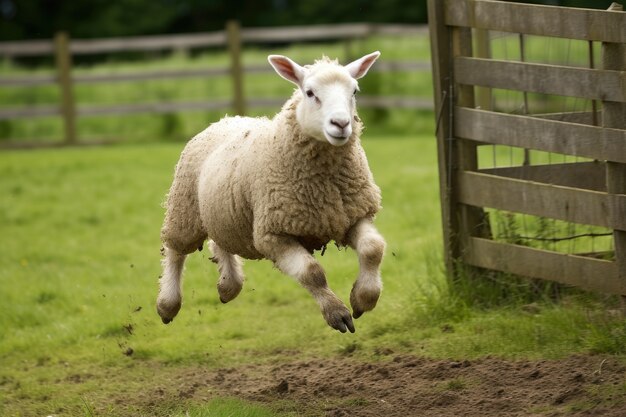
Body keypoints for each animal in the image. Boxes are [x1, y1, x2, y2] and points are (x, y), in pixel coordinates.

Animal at [156, 52, 386, 334]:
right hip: (184, 209)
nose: (341, 124)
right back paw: (168, 304)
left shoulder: (353, 214)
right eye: (310, 93)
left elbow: (373, 248)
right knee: (175, 251)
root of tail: (224, 119)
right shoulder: (272, 234)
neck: (325, 185)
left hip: (225, 213)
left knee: (219, 241)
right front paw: (337, 313)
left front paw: (363, 299)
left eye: (354, 91)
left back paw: (228, 285)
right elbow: (312, 272)